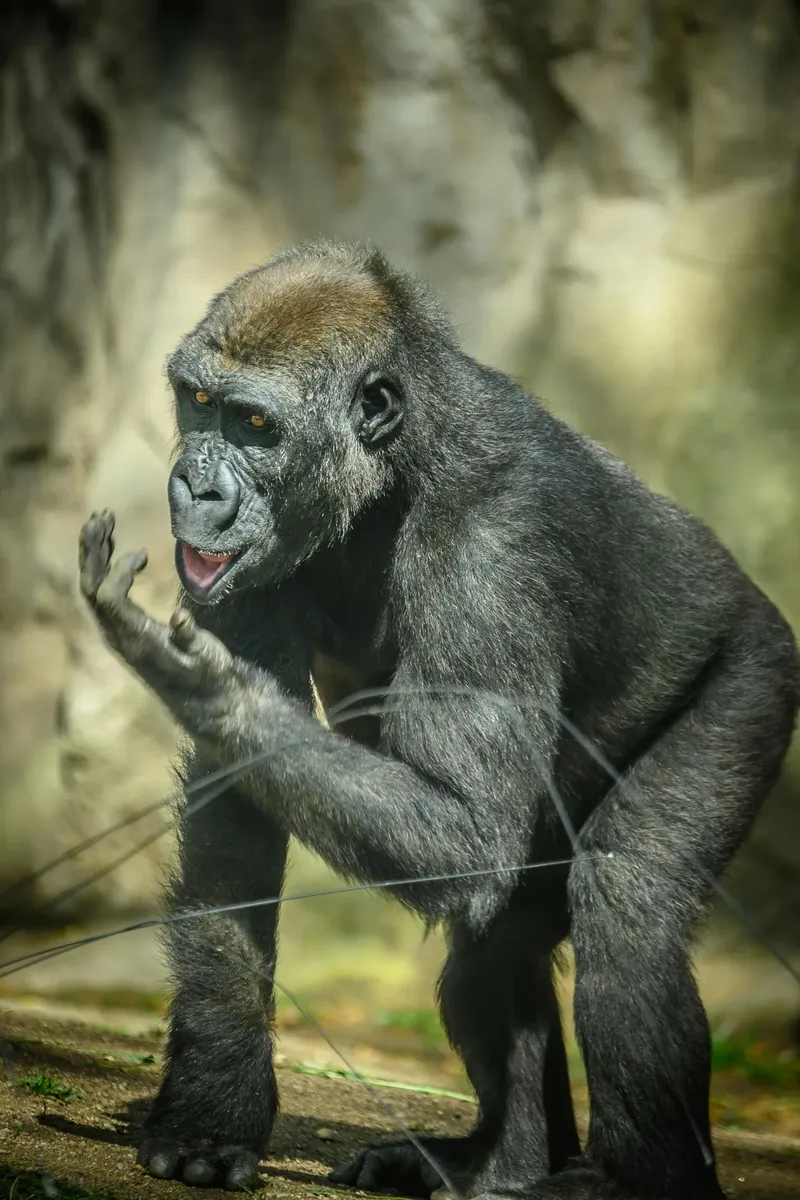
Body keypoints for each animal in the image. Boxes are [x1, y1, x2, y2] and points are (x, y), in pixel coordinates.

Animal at [78, 241, 799, 1199]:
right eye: (198, 402)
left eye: (255, 425)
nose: (195, 485)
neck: (394, 466)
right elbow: (239, 823)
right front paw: (213, 1098)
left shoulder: (492, 548)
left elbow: (464, 827)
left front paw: (202, 685)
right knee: (495, 951)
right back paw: (500, 1161)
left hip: (753, 675)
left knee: (628, 904)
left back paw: (635, 1180)